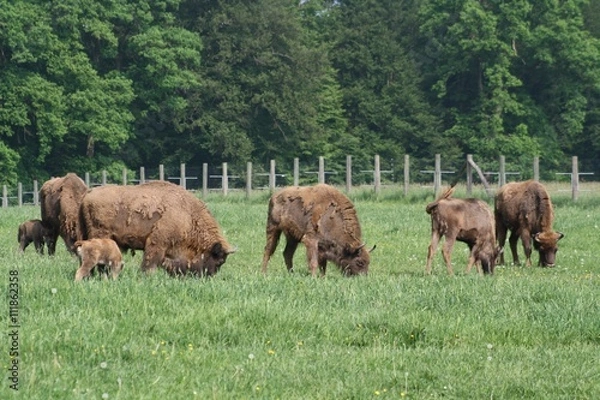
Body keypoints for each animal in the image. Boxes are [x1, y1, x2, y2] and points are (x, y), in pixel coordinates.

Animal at [77, 180, 232, 276]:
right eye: (219, 261)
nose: (208, 277)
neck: (189, 215)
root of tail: (88, 194)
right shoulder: (157, 243)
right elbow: (149, 264)